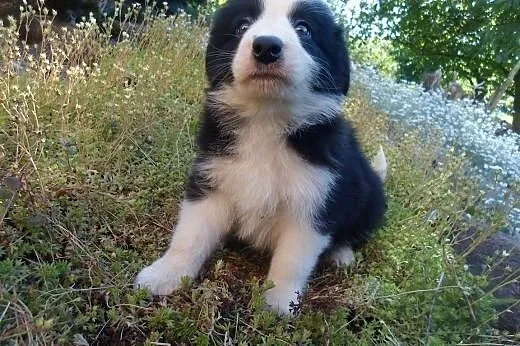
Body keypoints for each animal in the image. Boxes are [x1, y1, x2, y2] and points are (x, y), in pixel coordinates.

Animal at [136, 0, 388, 314]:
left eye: (304, 29)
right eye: (243, 25)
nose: (266, 46)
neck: (266, 118)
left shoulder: (313, 202)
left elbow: (292, 260)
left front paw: (279, 302)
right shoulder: (212, 177)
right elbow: (190, 234)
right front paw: (166, 273)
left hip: (369, 198)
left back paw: (341, 253)